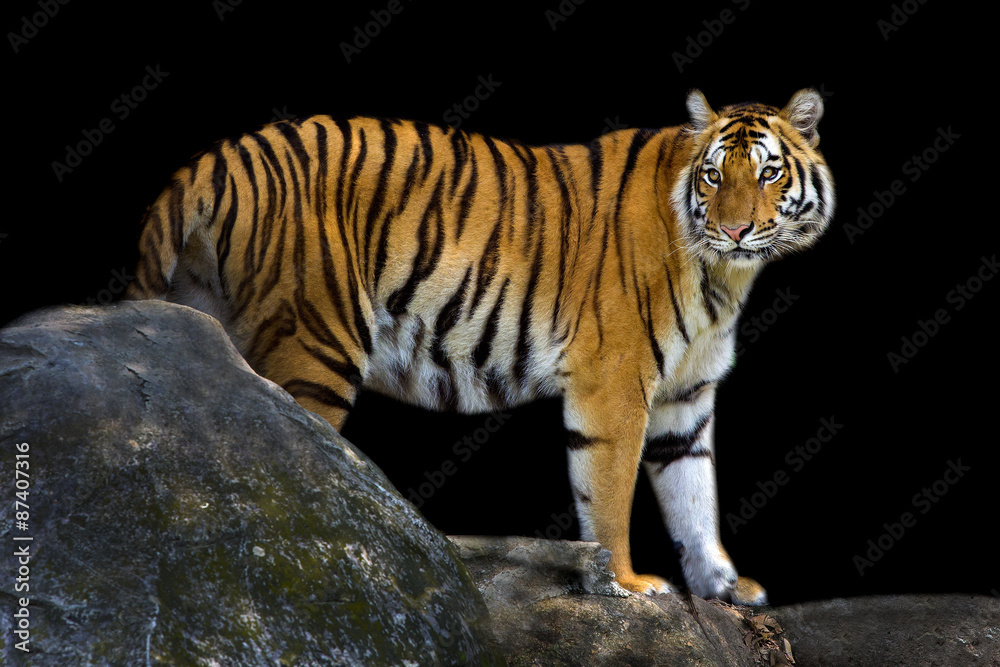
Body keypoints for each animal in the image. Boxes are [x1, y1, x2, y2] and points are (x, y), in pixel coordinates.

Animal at [125, 88, 835, 604]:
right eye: (713, 177)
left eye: (769, 174)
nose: (734, 229)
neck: (725, 276)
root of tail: (211, 159)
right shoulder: (614, 383)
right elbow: (608, 493)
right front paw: (628, 584)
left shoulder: (685, 393)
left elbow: (694, 496)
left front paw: (723, 588)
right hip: (316, 346)